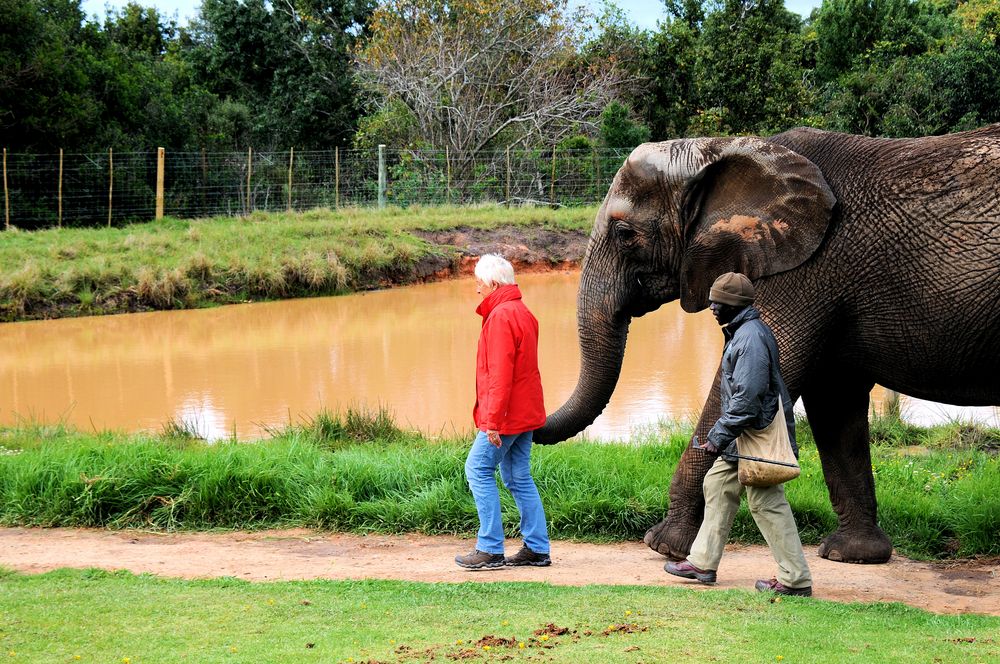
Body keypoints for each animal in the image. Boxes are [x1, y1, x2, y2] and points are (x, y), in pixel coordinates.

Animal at [536, 122, 1000, 564]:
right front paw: (853, 555)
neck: (722, 148)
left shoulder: (805, 271)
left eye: (625, 233)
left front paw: (663, 545)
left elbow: (751, 387)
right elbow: (834, 401)